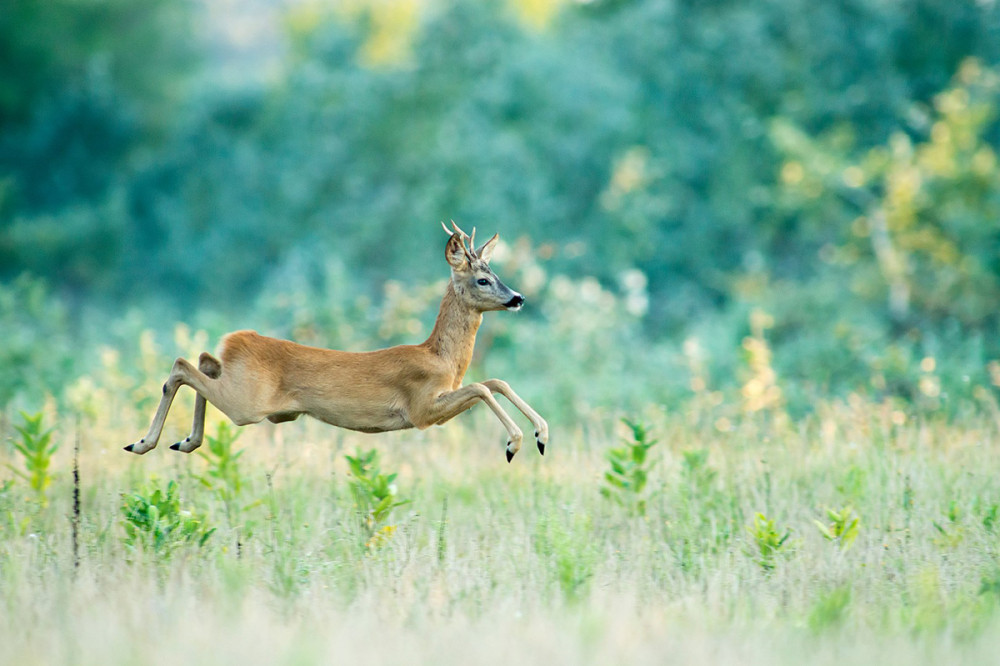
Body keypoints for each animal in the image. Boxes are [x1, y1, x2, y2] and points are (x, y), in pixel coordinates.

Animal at [126, 223, 552, 462]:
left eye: (497, 274)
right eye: (483, 279)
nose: (518, 298)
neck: (441, 359)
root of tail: (235, 339)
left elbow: (495, 381)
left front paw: (541, 435)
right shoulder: (421, 409)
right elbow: (483, 386)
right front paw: (515, 443)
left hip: (244, 388)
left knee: (201, 359)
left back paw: (182, 442)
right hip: (247, 403)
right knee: (182, 364)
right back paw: (143, 443)